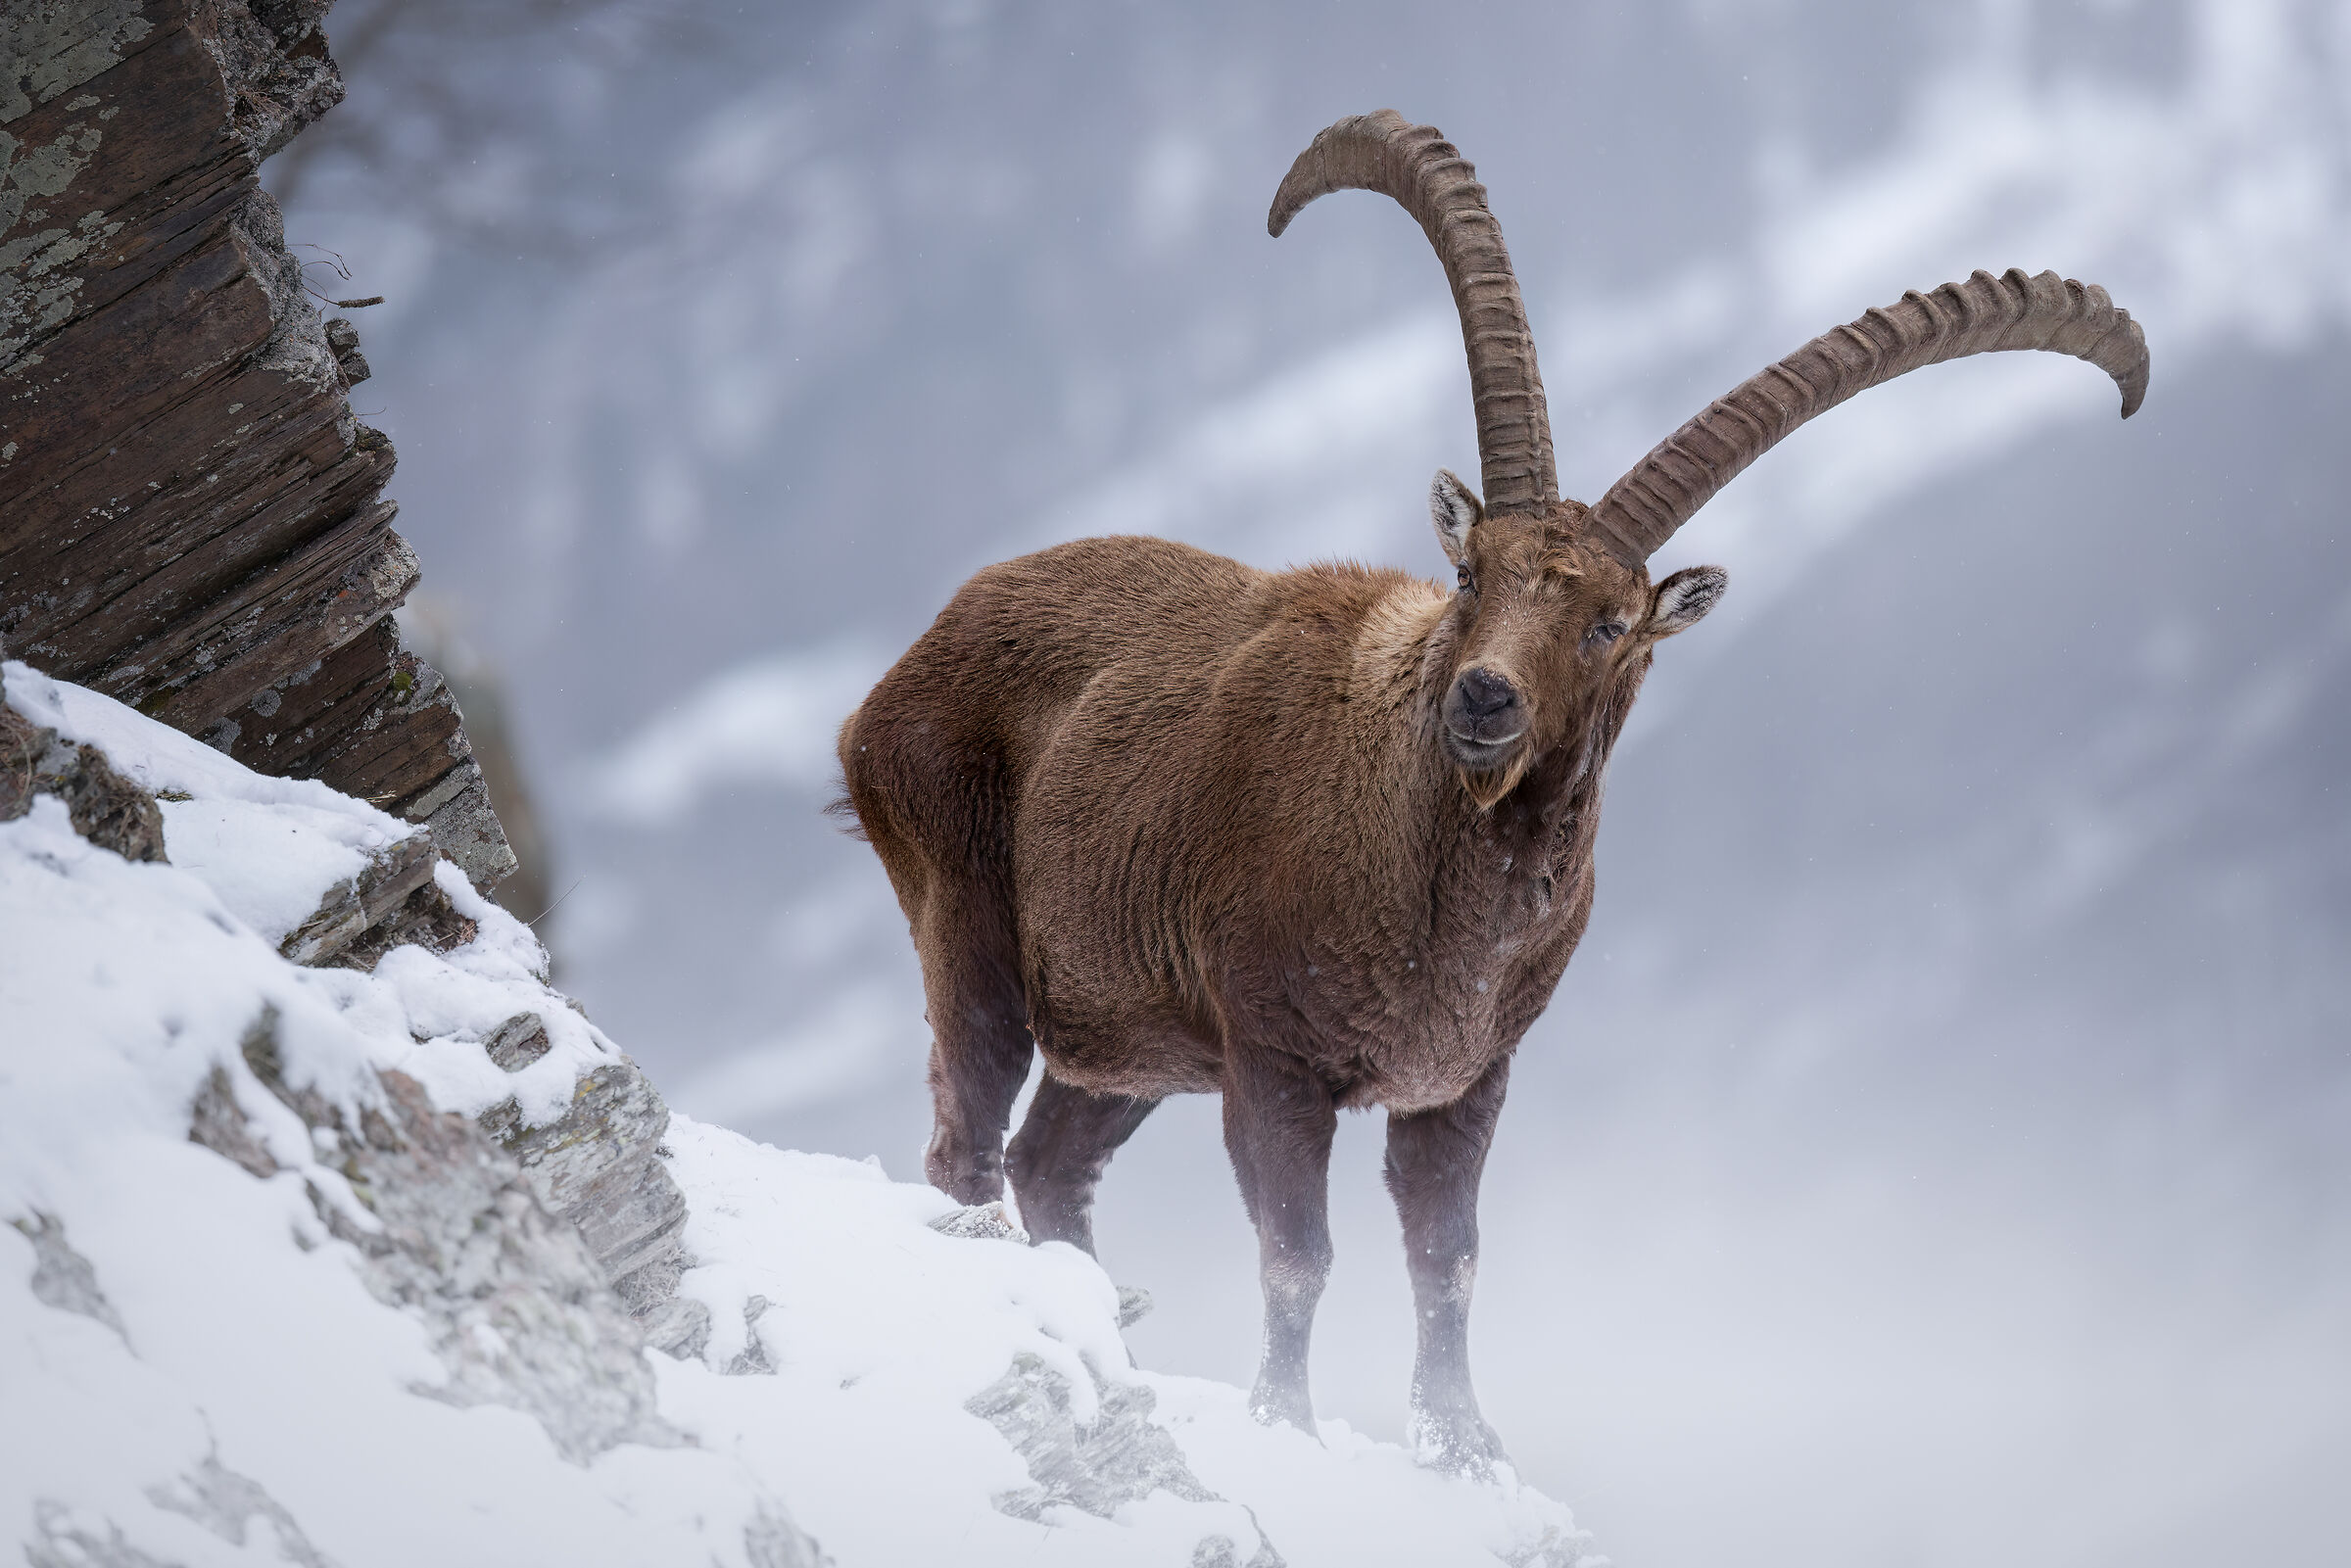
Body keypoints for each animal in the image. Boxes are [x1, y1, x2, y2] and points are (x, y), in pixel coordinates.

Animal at [836, 110, 2148, 1475]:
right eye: (1472, 571)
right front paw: (1288, 1425)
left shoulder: (1464, 1080)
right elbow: (1299, 1255)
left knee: (1051, 1163)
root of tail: (908, 664)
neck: (1430, 873)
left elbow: (1447, 1259)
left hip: (1127, 1044)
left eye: (1612, 621)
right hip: (970, 922)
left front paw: (1464, 1445)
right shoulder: (1274, 1058)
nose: (1483, 698)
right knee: (966, 1145)